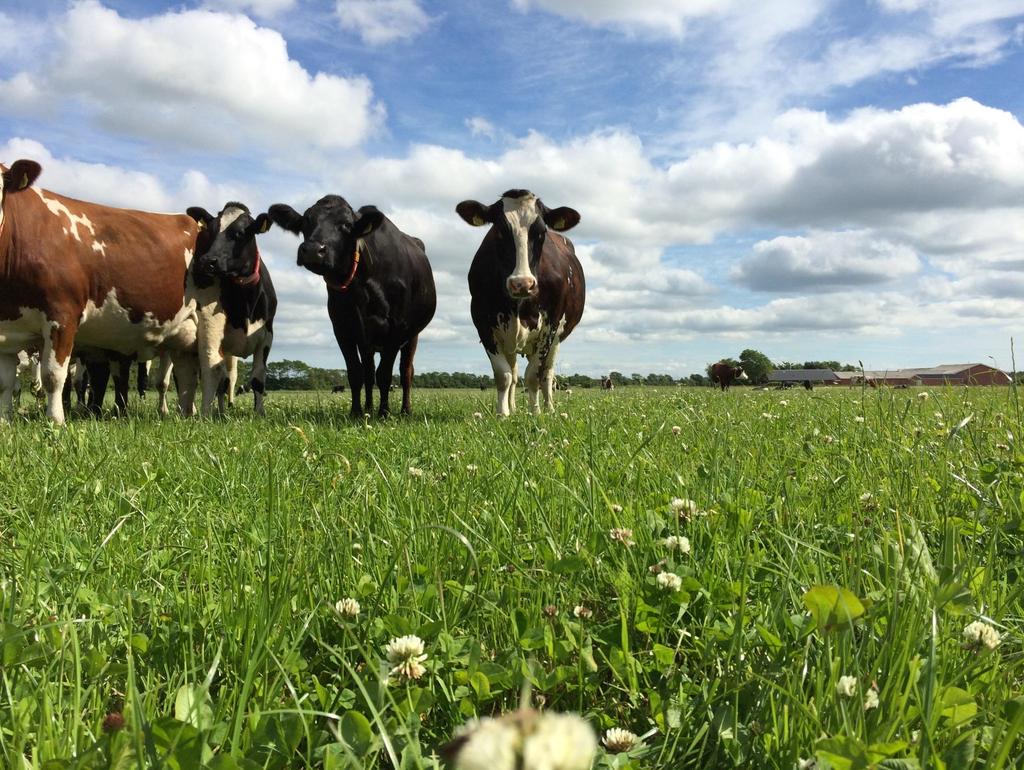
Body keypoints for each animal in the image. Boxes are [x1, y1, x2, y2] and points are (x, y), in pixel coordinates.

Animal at [0, 159, 201, 423]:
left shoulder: (62, 317)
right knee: (186, 373)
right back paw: (186, 413)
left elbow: (53, 376)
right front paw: (4, 420)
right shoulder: (7, 329)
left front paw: (55, 421)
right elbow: (5, 382)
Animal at [186, 198, 276, 415]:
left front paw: (259, 413)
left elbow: (258, 378)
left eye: (241, 233)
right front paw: (212, 414)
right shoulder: (215, 331)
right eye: (210, 231)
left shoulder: (267, 334)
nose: (206, 261)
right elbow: (217, 375)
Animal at [266, 195, 434, 417]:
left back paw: (405, 410)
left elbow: (385, 374)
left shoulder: (396, 328)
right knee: (369, 372)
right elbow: (356, 372)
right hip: (367, 342)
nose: (313, 250)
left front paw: (384, 413)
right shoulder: (343, 328)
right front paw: (356, 412)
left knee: (406, 372)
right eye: (306, 221)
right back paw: (369, 408)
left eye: (346, 225)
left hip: (412, 335)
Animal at [456, 188, 585, 415]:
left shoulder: (550, 327)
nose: (522, 283)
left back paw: (550, 408)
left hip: (556, 339)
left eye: (541, 232)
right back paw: (514, 407)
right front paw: (503, 413)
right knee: (515, 374)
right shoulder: (483, 323)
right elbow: (504, 375)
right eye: (499, 230)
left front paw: (536, 413)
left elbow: (534, 375)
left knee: (547, 374)